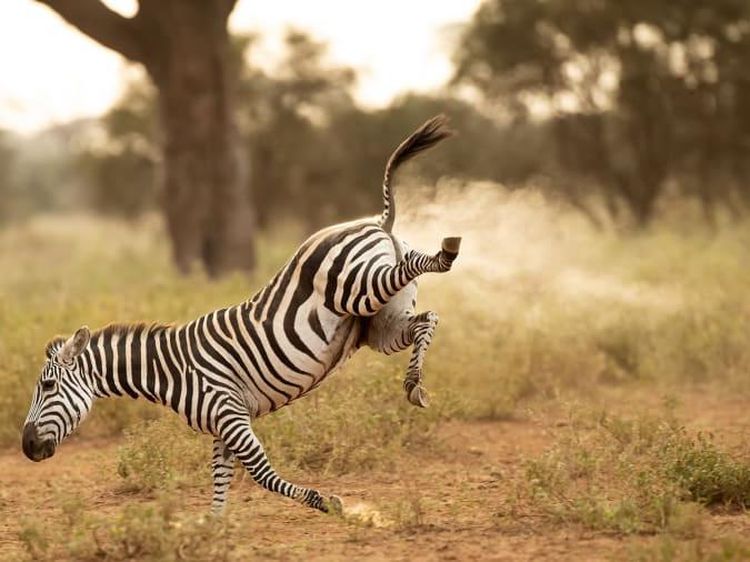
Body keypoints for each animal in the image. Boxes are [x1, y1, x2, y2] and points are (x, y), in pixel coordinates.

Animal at [21, 115, 461, 515]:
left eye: (47, 386)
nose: (26, 447)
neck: (169, 371)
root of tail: (373, 221)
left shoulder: (229, 413)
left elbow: (262, 475)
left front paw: (327, 502)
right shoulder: (222, 426)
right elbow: (220, 482)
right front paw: (213, 530)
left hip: (356, 288)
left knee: (417, 273)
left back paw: (448, 250)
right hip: (379, 324)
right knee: (426, 319)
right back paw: (415, 385)